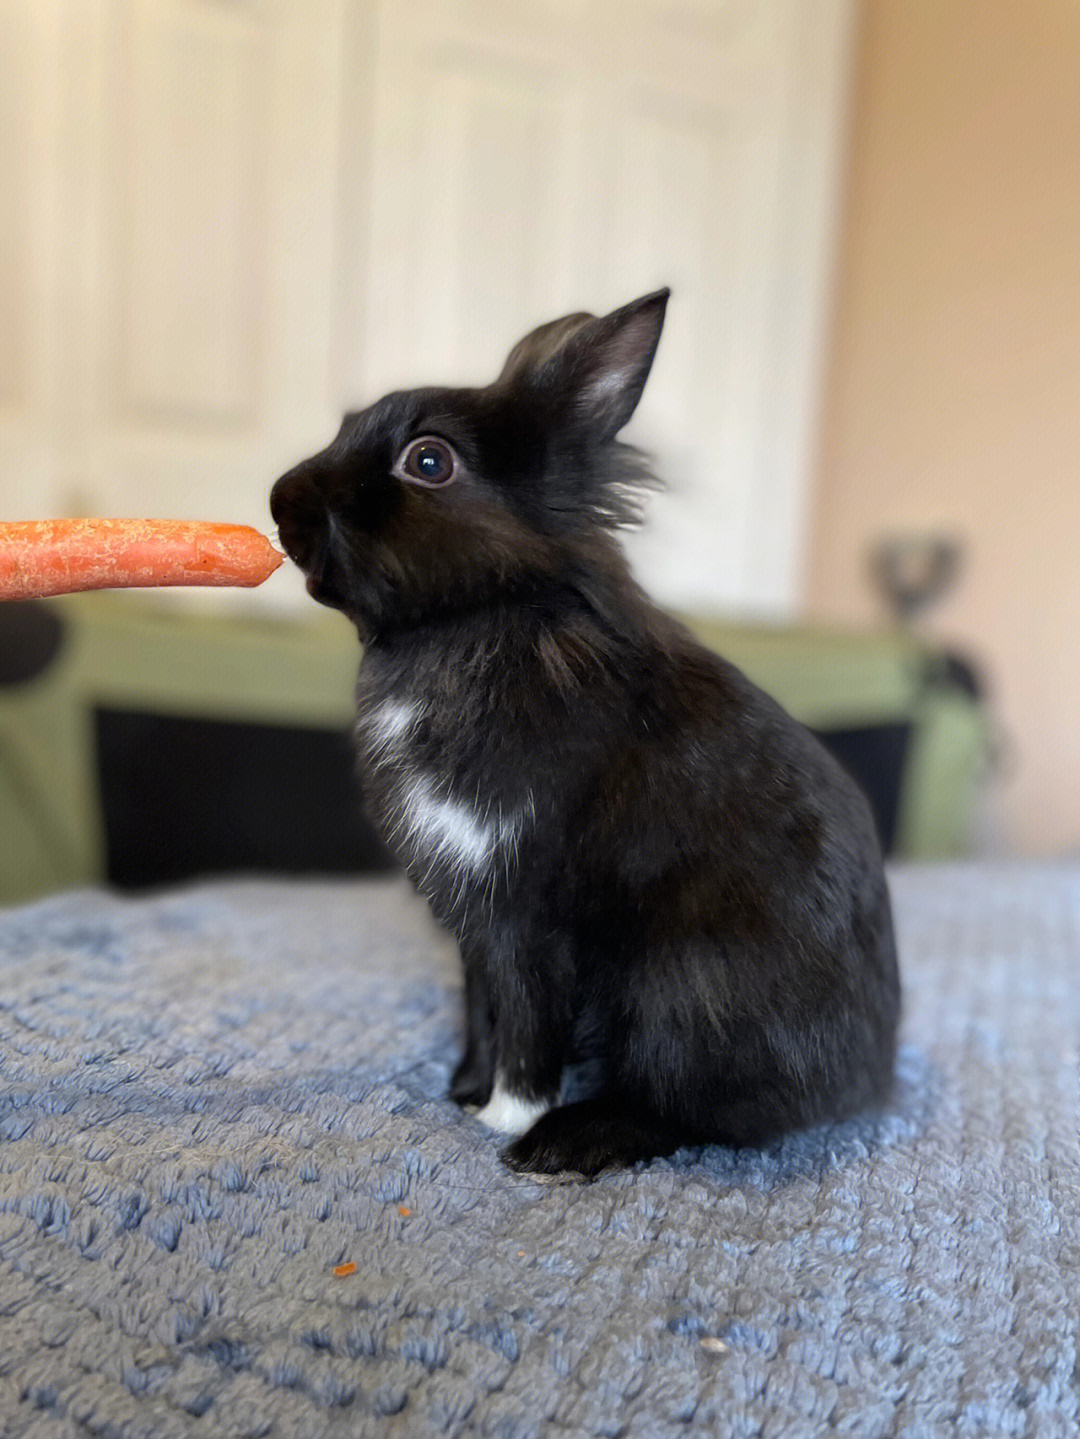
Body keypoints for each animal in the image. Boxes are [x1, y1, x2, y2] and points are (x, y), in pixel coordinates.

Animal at [271, 294, 903, 1179]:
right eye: (347, 424)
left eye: (429, 462)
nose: (281, 502)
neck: (480, 614)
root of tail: (869, 1075)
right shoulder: (475, 923)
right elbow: (483, 1014)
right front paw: (462, 1094)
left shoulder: (526, 913)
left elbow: (527, 1028)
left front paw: (500, 1122)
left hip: (685, 989)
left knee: (690, 1112)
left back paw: (561, 1142)